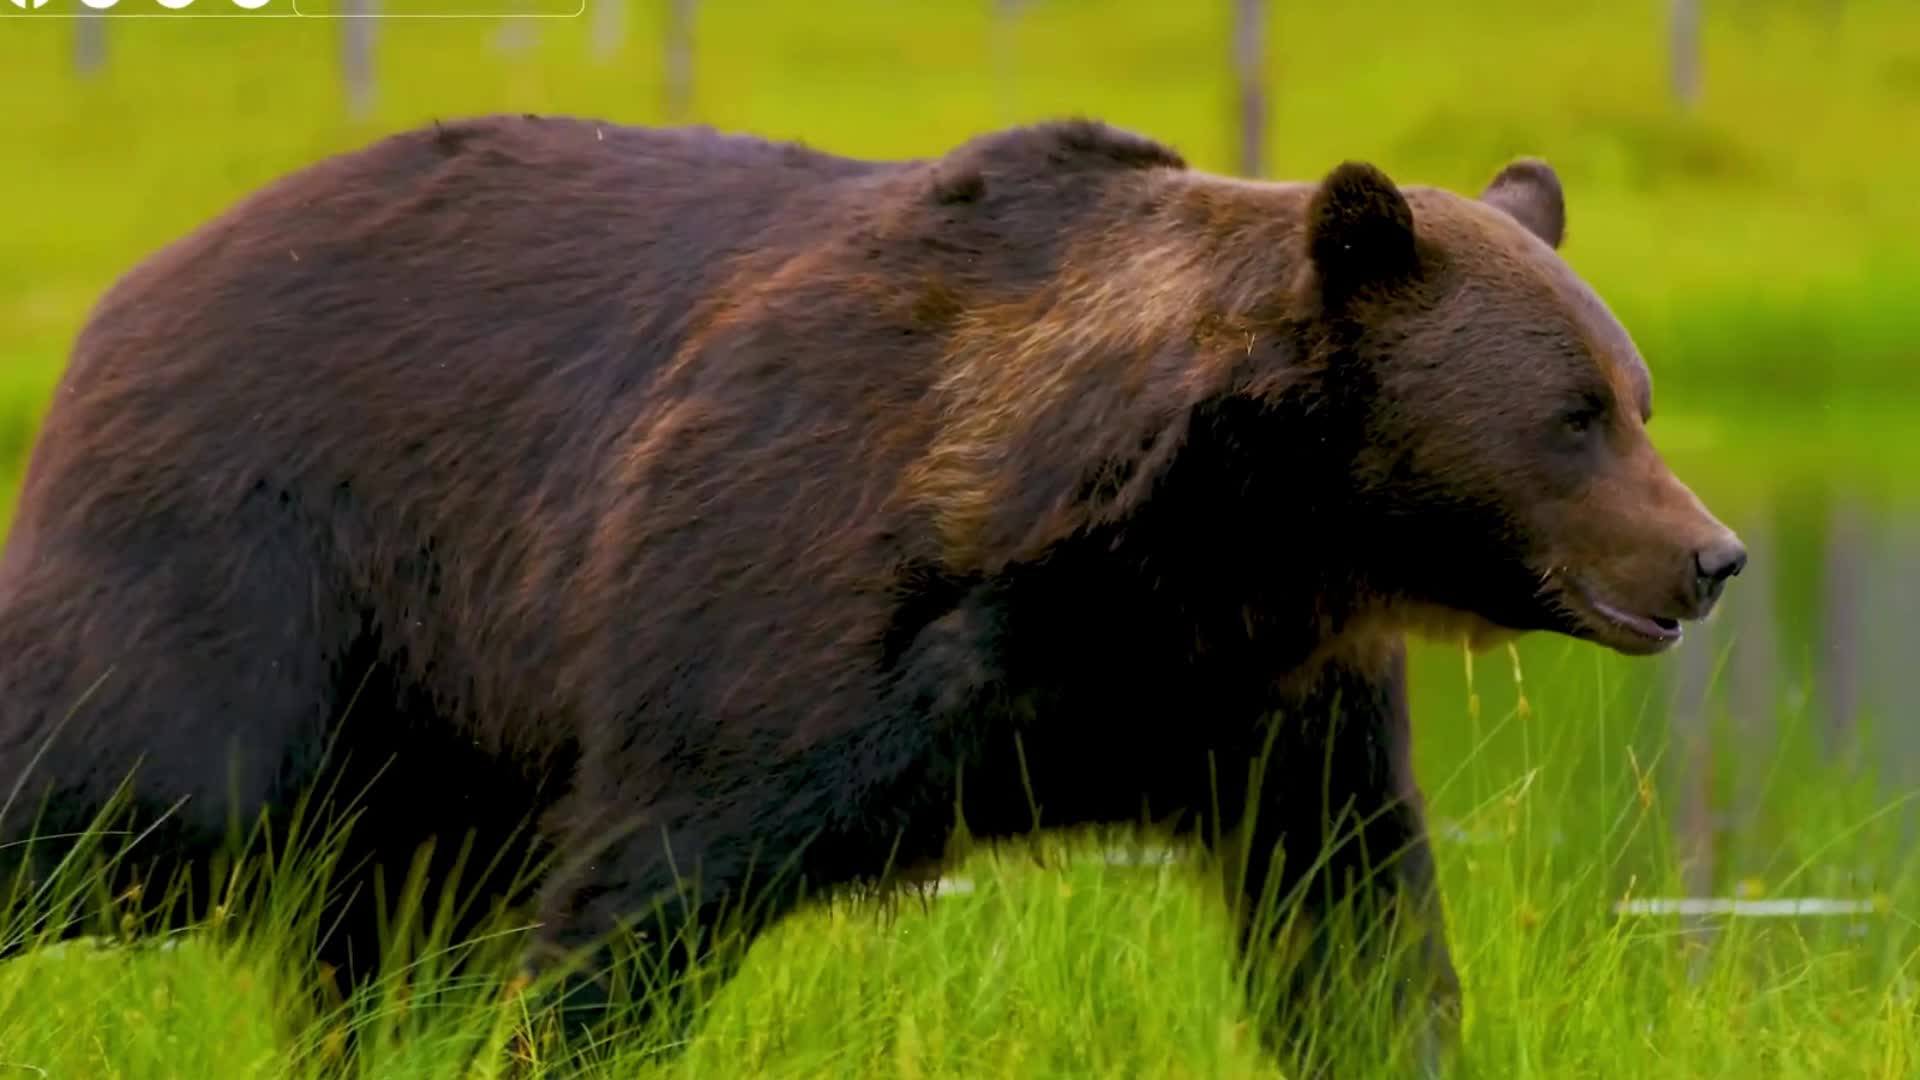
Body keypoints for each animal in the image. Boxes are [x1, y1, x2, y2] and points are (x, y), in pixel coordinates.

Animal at [0, 113, 1743, 1068]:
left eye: (1641, 395)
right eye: (1574, 414)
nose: (1713, 556)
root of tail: (125, 295)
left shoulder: (1258, 691)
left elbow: (1352, 925)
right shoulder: (797, 594)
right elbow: (648, 894)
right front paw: (552, 1039)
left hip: (434, 723)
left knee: (377, 918)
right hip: (266, 568)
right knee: (128, 780)